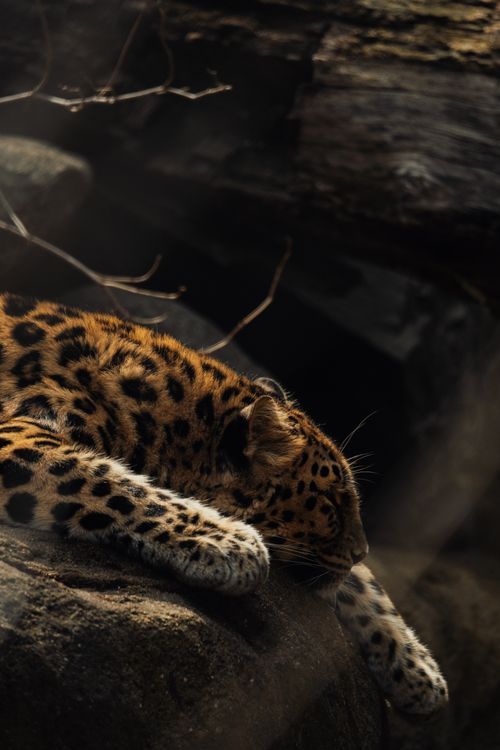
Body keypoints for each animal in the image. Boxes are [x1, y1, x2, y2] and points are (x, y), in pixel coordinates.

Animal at [0, 292, 448, 716]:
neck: (168, 419)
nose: (362, 550)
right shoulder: (17, 436)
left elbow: (359, 581)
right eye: (329, 500)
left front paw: (419, 671)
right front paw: (230, 544)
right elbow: (106, 479)